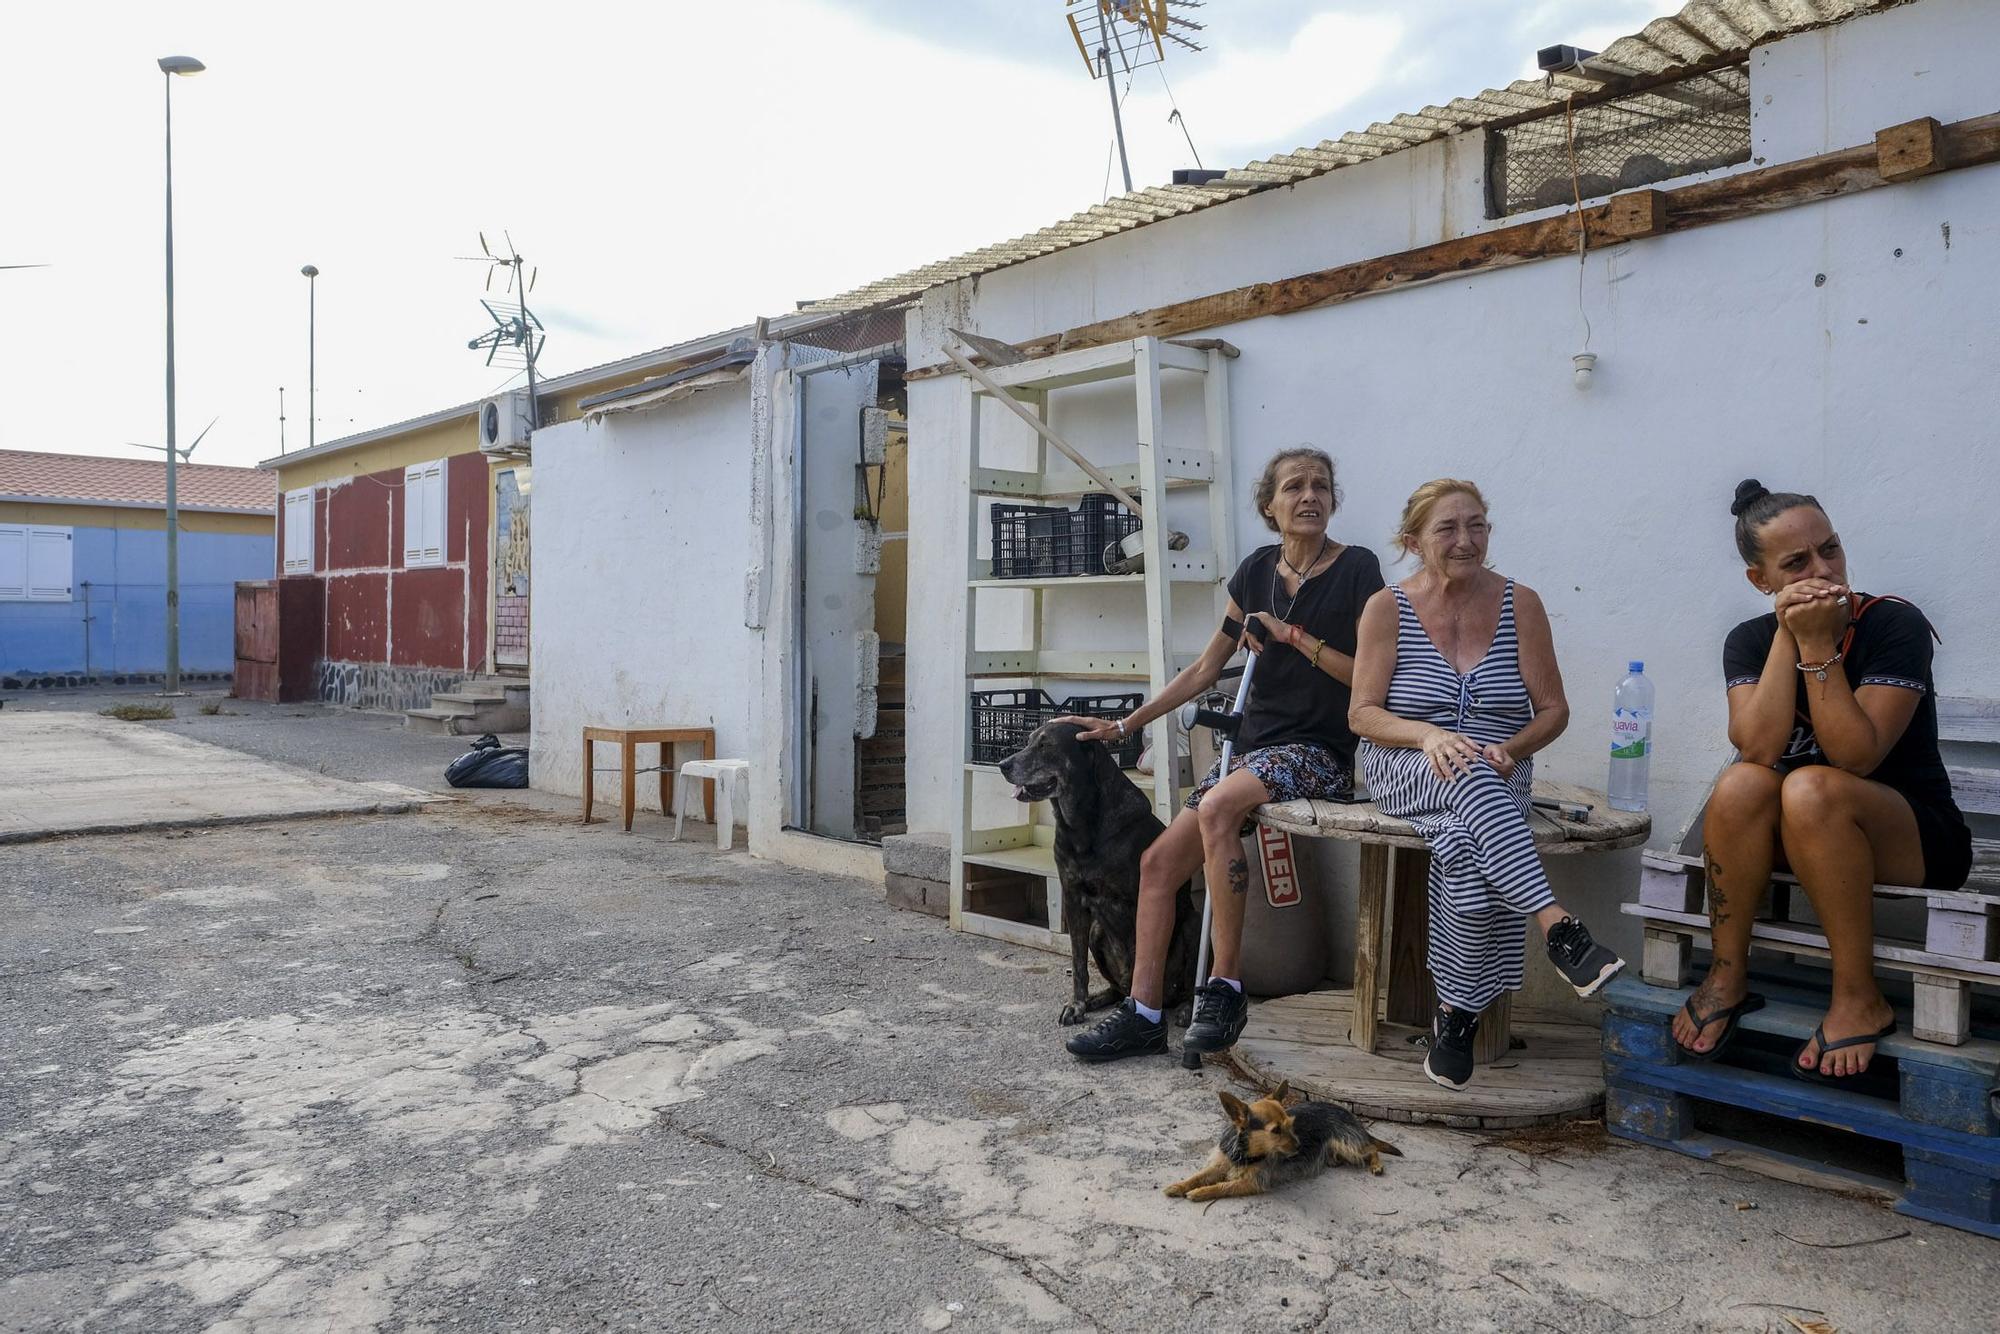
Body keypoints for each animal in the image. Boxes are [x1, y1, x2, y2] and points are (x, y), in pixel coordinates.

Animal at [992, 724, 1192, 1032]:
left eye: (1045, 745)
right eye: (1028, 741)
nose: (1002, 764)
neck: (1081, 826)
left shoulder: (1139, 902)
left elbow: (1140, 959)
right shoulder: (1072, 897)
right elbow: (1078, 963)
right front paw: (1078, 1004)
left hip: (1192, 924)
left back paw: (1184, 1007)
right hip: (1097, 931)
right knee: (1117, 986)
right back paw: (1099, 999)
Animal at [1168, 1080, 1400, 1208]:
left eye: (1290, 1124)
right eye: (1276, 1131)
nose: (1299, 1147)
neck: (1244, 1152)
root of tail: (1347, 1113)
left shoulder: (1253, 1182)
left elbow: (1223, 1187)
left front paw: (1200, 1193)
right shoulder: (1219, 1164)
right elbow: (1198, 1176)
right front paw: (1180, 1185)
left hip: (1348, 1144)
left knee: (1371, 1148)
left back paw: (1376, 1165)